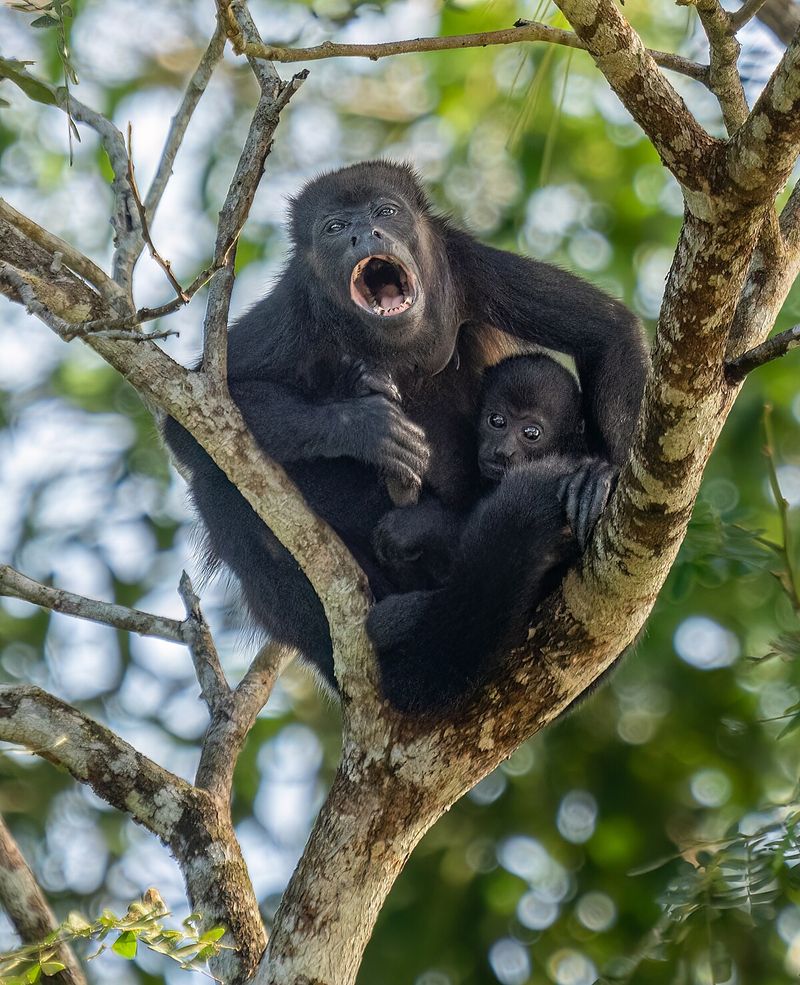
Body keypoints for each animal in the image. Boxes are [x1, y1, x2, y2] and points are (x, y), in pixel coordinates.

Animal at [164, 160, 648, 700]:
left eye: (385, 212)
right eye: (334, 228)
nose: (363, 234)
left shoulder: (466, 264)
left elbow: (608, 331)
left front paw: (602, 476)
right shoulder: (297, 306)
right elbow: (189, 427)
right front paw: (367, 427)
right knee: (218, 485)